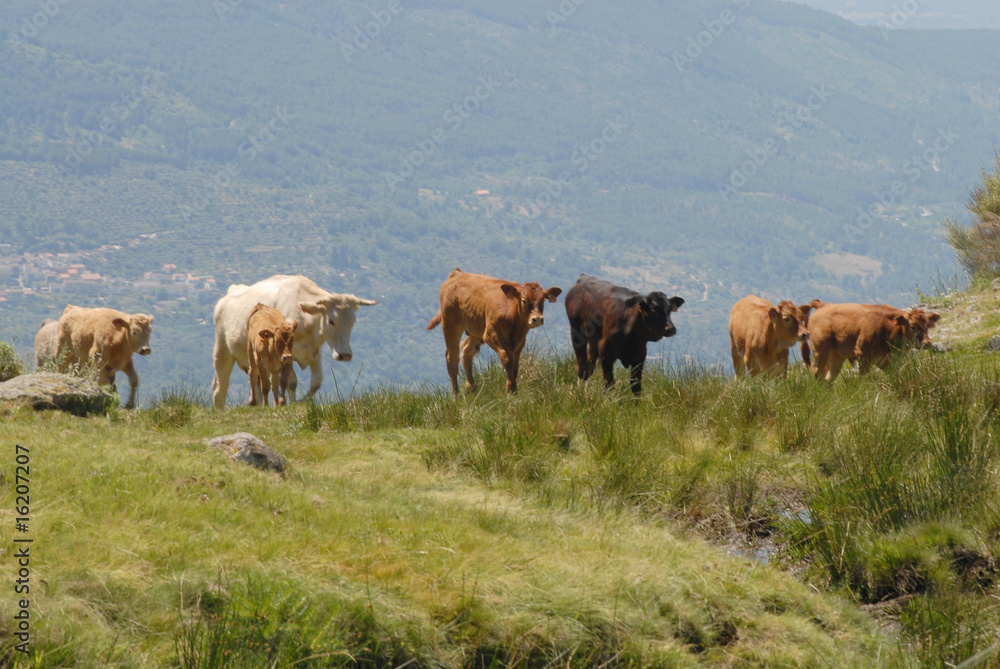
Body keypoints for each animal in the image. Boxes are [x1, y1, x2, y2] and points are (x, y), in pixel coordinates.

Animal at [213, 274, 376, 410]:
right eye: (331, 321)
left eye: (352, 321)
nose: (345, 355)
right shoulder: (287, 356)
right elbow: (292, 383)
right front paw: (292, 403)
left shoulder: (314, 353)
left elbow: (316, 382)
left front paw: (302, 401)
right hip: (222, 350)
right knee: (220, 388)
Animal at [424, 266, 564, 392]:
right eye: (524, 300)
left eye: (543, 300)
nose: (537, 319)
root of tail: (458, 273)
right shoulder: (490, 333)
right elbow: (507, 358)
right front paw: (511, 389)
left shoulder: (520, 340)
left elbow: (515, 365)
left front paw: (514, 388)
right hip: (450, 324)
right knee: (452, 358)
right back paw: (456, 396)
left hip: (475, 329)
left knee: (466, 350)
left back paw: (472, 390)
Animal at [804, 302, 936, 384]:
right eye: (912, 326)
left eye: (927, 325)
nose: (927, 342)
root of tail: (822, 305)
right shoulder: (863, 354)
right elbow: (863, 376)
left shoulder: (886, 358)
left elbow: (894, 373)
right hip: (821, 353)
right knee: (816, 372)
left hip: (837, 357)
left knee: (828, 377)